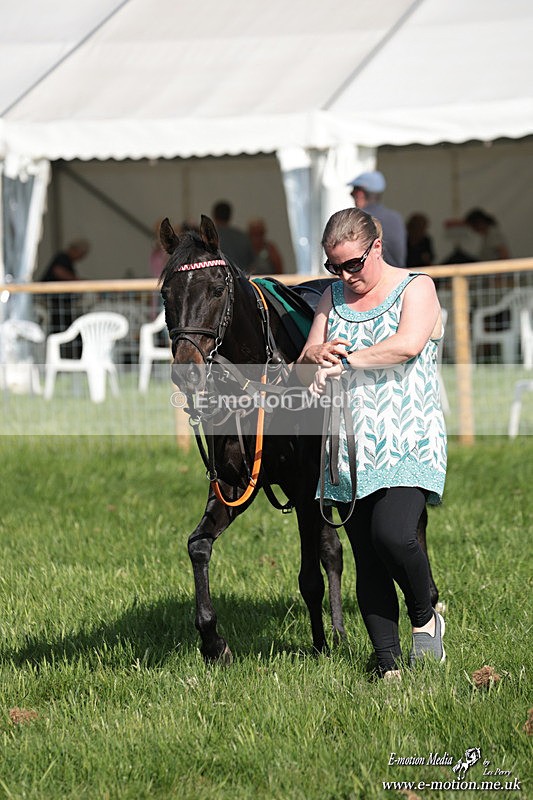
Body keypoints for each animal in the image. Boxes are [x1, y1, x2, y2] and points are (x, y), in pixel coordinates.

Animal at [159, 214, 439, 663]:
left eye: (217, 289)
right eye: (166, 293)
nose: (187, 369)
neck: (258, 385)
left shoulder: (308, 487)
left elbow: (316, 568)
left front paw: (327, 641)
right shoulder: (233, 485)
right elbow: (198, 545)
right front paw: (213, 641)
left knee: (406, 525)